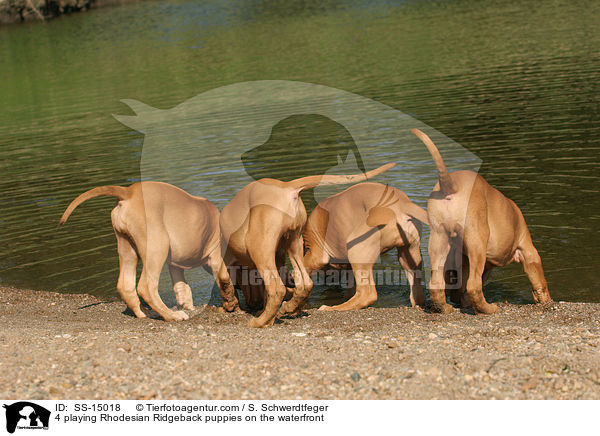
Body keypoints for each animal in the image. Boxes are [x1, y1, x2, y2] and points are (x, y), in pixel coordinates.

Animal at [59, 181, 239, 320]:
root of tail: (129, 192)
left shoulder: (175, 266)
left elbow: (183, 289)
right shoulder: (216, 257)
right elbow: (225, 280)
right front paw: (232, 303)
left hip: (127, 248)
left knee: (125, 285)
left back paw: (145, 313)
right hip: (157, 247)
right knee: (146, 286)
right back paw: (171, 316)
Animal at [218, 164, 396, 328]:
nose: (252, 305)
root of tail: (287, 187)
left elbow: (224, 279)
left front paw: (229, 305)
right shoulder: (278, 258)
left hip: (260, 248)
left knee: (277, 289)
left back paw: (259, 322)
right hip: (293, 244)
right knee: (304, 283)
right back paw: (287, 309)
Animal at [308, 181, 428, 310]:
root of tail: (401, 204)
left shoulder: (316, 255)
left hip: (357, 251)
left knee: (367, 295)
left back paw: (332, 308)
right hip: (407, 254)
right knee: (418, 294)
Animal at [412, 127, 552, 314]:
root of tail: (451, 185)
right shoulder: (528, 250)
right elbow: (539, 281)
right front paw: (546, 301)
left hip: (438, 239)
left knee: (437, 283)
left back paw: (445, 307)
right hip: (476, 240)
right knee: (473, 285)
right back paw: (488, 309)